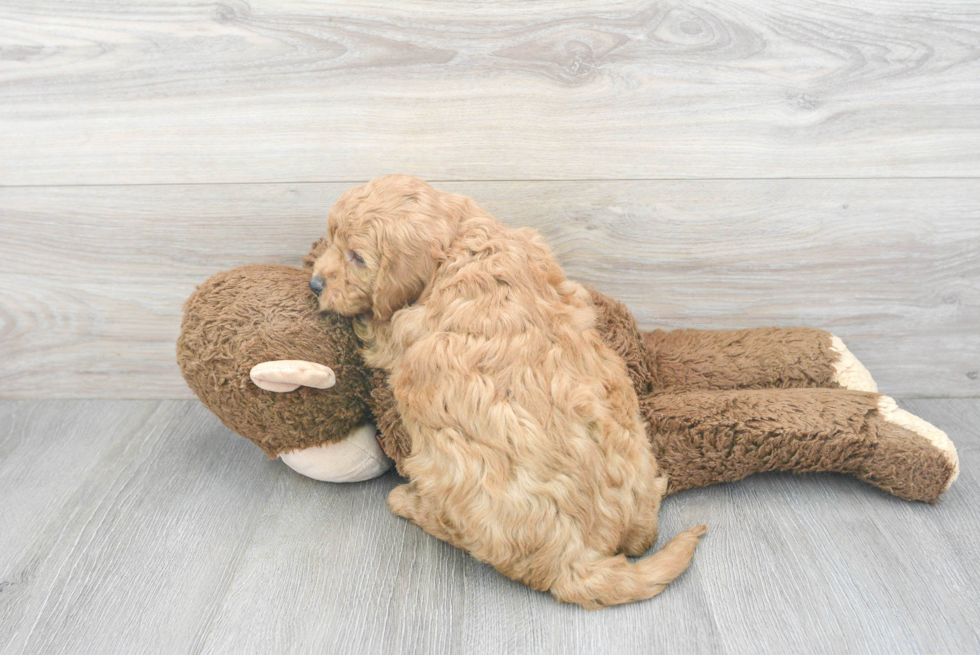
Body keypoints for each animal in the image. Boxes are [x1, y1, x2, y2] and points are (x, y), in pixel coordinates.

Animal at [310, 176, 700, 608]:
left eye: (357, 258)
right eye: (332, 238)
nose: (314, 284)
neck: (460, 242)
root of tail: (575, 559)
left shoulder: (395, 331)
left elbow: (372, 326)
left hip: (442, 470)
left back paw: (406, 502)